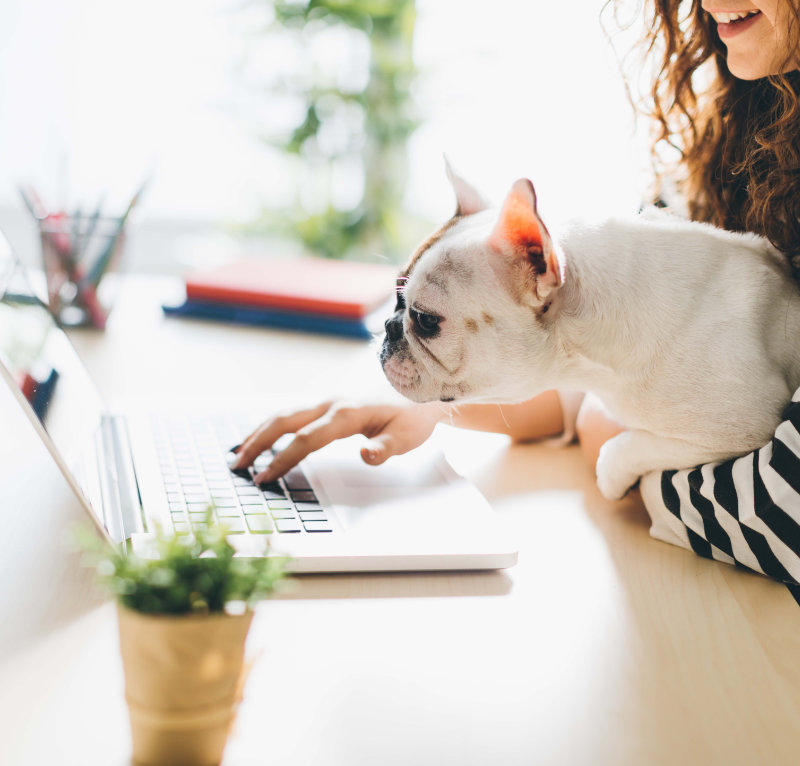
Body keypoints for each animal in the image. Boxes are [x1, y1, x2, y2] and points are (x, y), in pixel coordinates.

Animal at [378, 164, 800, 500]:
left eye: (425, 320)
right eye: (396, 294)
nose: (388, 326)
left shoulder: (743, 428)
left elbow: (626, 446)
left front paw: (610, 481)